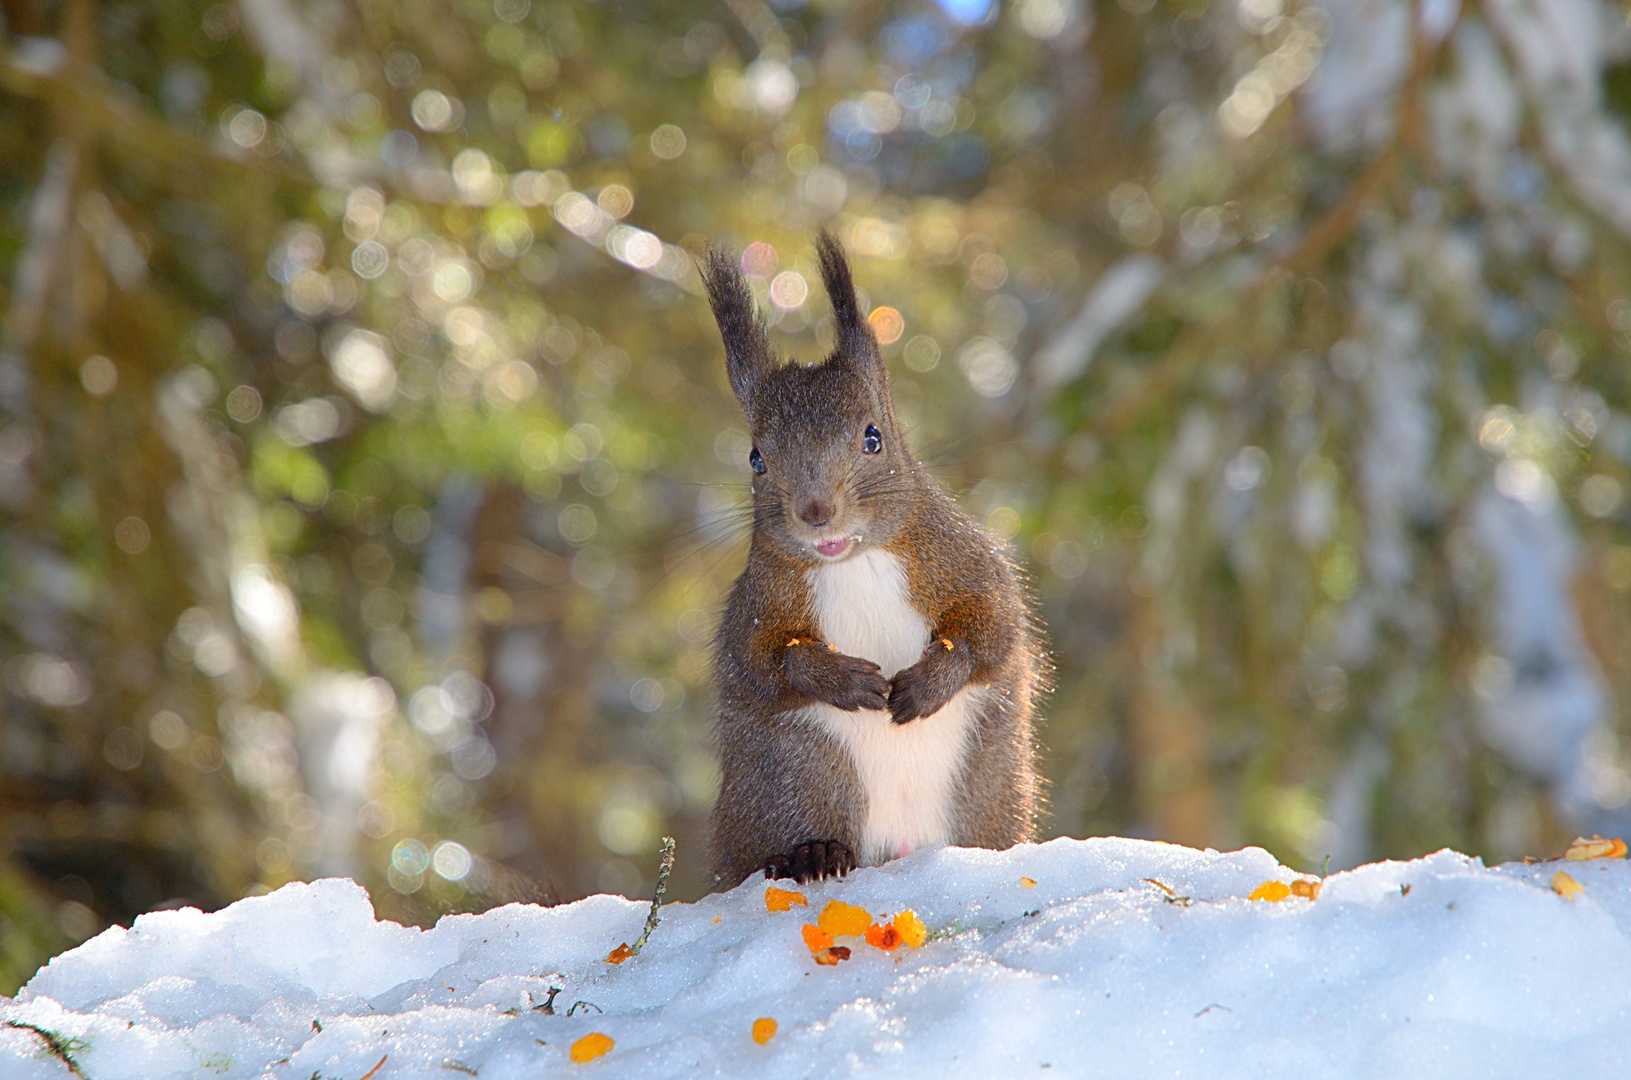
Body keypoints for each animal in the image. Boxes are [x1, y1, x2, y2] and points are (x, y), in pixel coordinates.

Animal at [701, 230, 1043, 887]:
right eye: (756, 458)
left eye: (872, 437)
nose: (816, 513)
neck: (853, 563)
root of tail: (897, 849)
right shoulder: (754, 608)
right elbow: (762, 665)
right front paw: (839, 677)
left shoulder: (967, 563)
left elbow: (992, 633)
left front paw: (930, 682)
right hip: (797, 780)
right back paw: (811, 854)